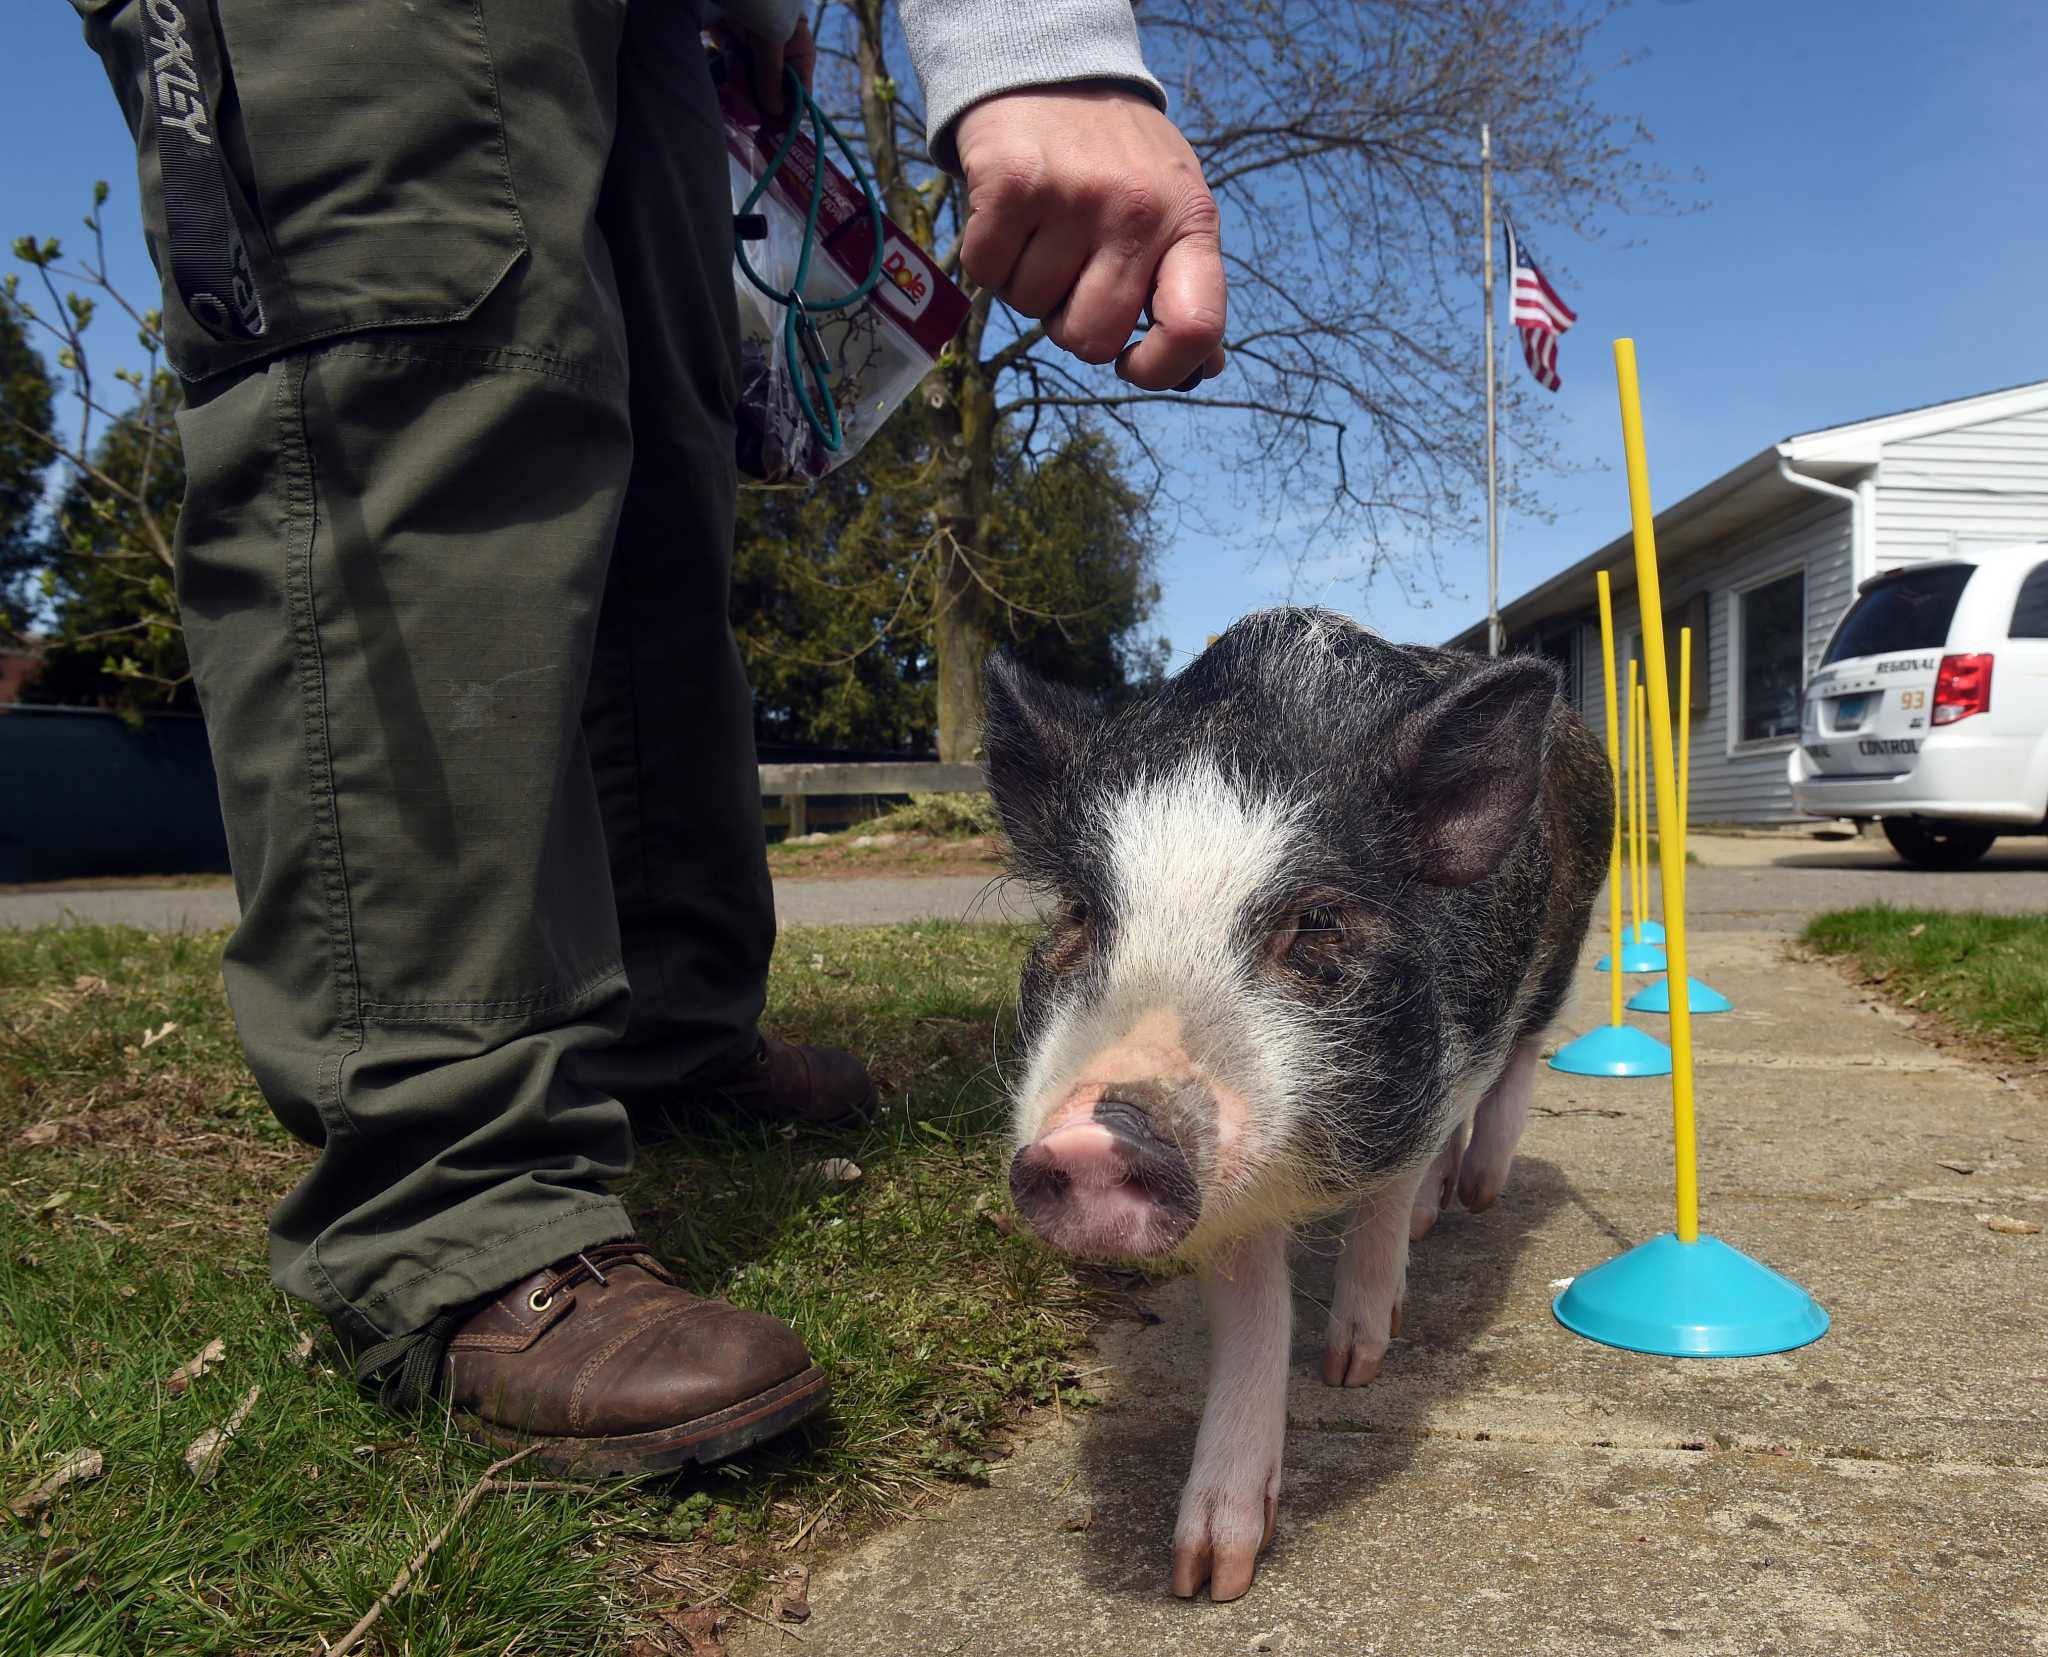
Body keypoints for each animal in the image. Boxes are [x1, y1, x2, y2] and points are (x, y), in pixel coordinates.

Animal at [982, 607, 1610, 1602]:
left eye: (1316, 923)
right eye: (1078, 910)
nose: (1099, 1132)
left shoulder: (1427, 1068)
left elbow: (1385, 1197)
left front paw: (1355, 1366)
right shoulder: (1227, 1196)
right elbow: (1252, 1310)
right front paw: (1206, 1575)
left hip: (1566, 936)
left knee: (1520, 1051)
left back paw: (1474, 1195)